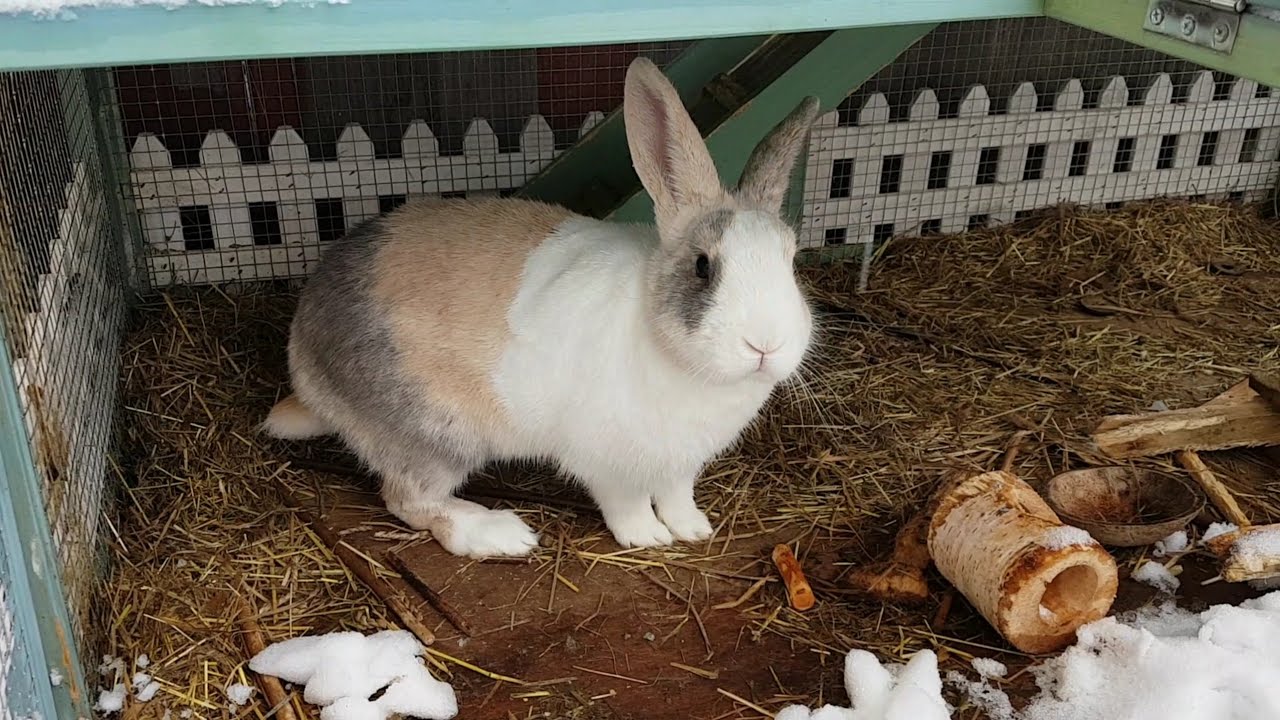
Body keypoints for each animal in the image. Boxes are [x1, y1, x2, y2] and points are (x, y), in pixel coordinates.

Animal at [262, 56, 819, 558]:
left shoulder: (680, 466)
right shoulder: (609, 463)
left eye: (792, 260)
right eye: (703, 266)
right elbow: (626, 504)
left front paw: (694, 530)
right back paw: (501, 534)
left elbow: (678, 496)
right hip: (438, 437)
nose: (765, 345)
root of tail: (303, 358)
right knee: (409, 501)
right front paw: (648, 538)